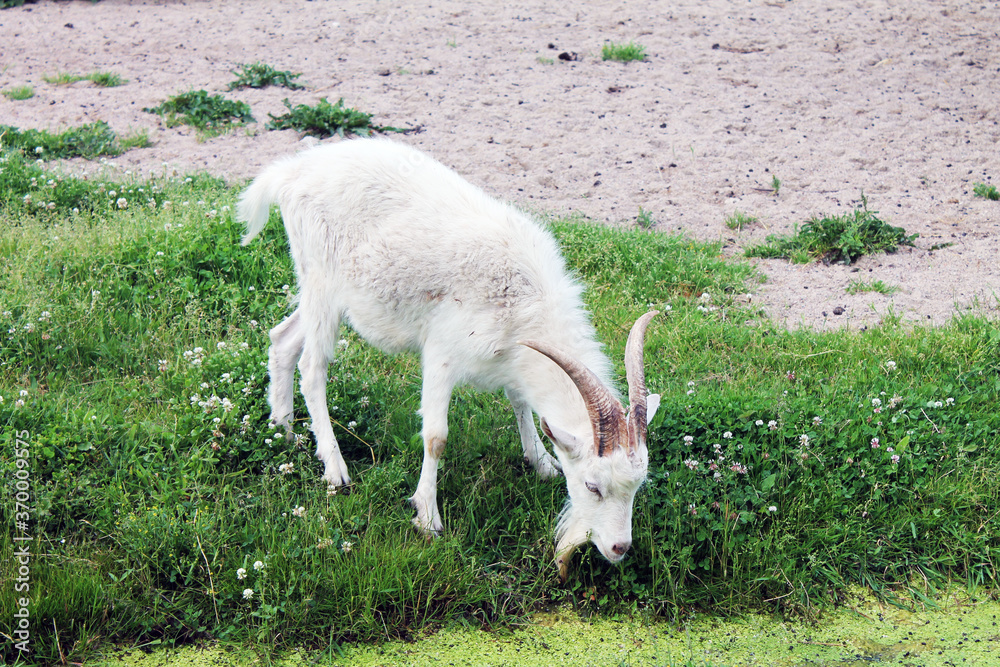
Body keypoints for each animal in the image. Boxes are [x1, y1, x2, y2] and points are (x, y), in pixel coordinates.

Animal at [238, 138, 659, 578]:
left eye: (637, 485)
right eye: (593, 486)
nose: (619, 547)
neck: (524, 298)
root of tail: (291, 173)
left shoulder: (509, 356)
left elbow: (520, 400)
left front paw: (541, 462)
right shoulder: (442, 352)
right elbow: (436, 437)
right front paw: (426, 517)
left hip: (320, 293)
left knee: (282, 339)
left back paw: (282, 428)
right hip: (322, 284)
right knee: (312, 369)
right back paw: (335, 469)